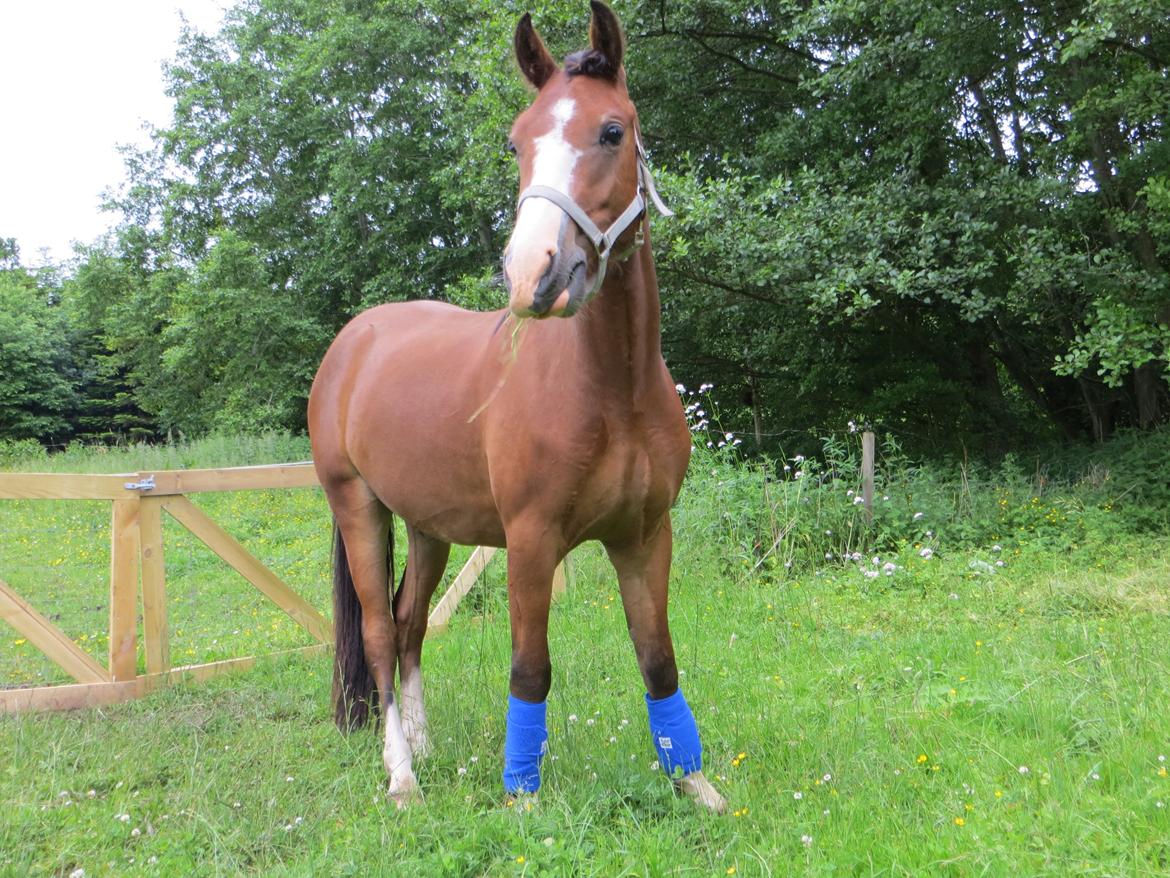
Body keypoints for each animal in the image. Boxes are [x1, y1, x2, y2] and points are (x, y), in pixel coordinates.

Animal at [308, 0, 725, 812]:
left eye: (612, 131)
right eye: (516, 142)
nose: (533, 273)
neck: (613, 391)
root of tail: (353, 341)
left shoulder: (645, 537)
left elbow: (658, 658)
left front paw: (694, 783)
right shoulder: (531, 545)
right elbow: (530, 667)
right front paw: (522, 797)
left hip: (429, 526)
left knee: (408, 625)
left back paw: (426, 745)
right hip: (359, 506)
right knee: (378, 632)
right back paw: (402, 773)